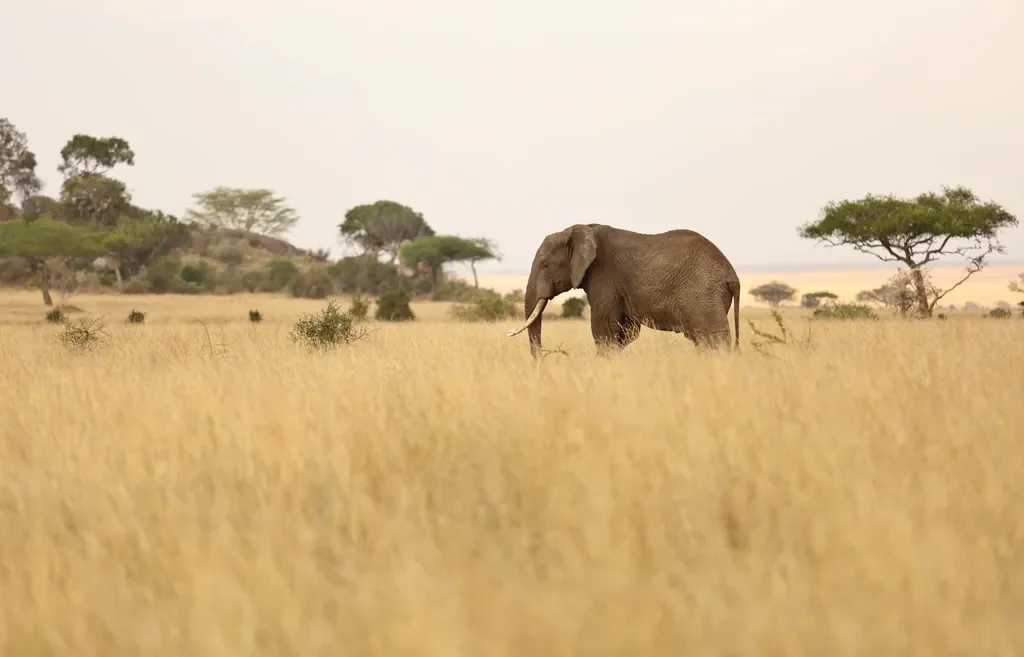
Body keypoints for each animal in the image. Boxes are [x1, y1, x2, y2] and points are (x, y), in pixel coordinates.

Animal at [507, 223, 741, 357]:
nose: (540, 365)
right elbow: (626, 332)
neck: (580, 229)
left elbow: (603, 330)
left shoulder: (603, 276)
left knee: (713, 338)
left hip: (703, 292)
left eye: (545, 265)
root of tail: (732, 275)